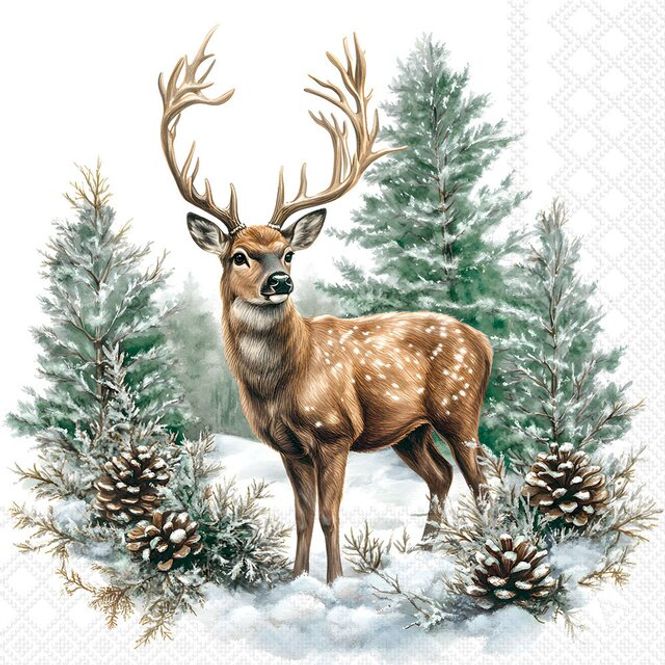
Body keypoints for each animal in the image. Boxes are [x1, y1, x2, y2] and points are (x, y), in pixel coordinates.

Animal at [159, 29, 493, 583]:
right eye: (239, 255)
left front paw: (336, 582)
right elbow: (301, 515)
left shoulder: (334, 432)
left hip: (459, 406)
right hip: (410, 430)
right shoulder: (287, 445)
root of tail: (485, 343)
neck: (281, 383)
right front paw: (295, 579)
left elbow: (331, 514)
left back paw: (483, 552)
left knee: (481, 479)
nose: (280, 281)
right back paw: (427, 550)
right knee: (443, 475)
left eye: (288, 251)